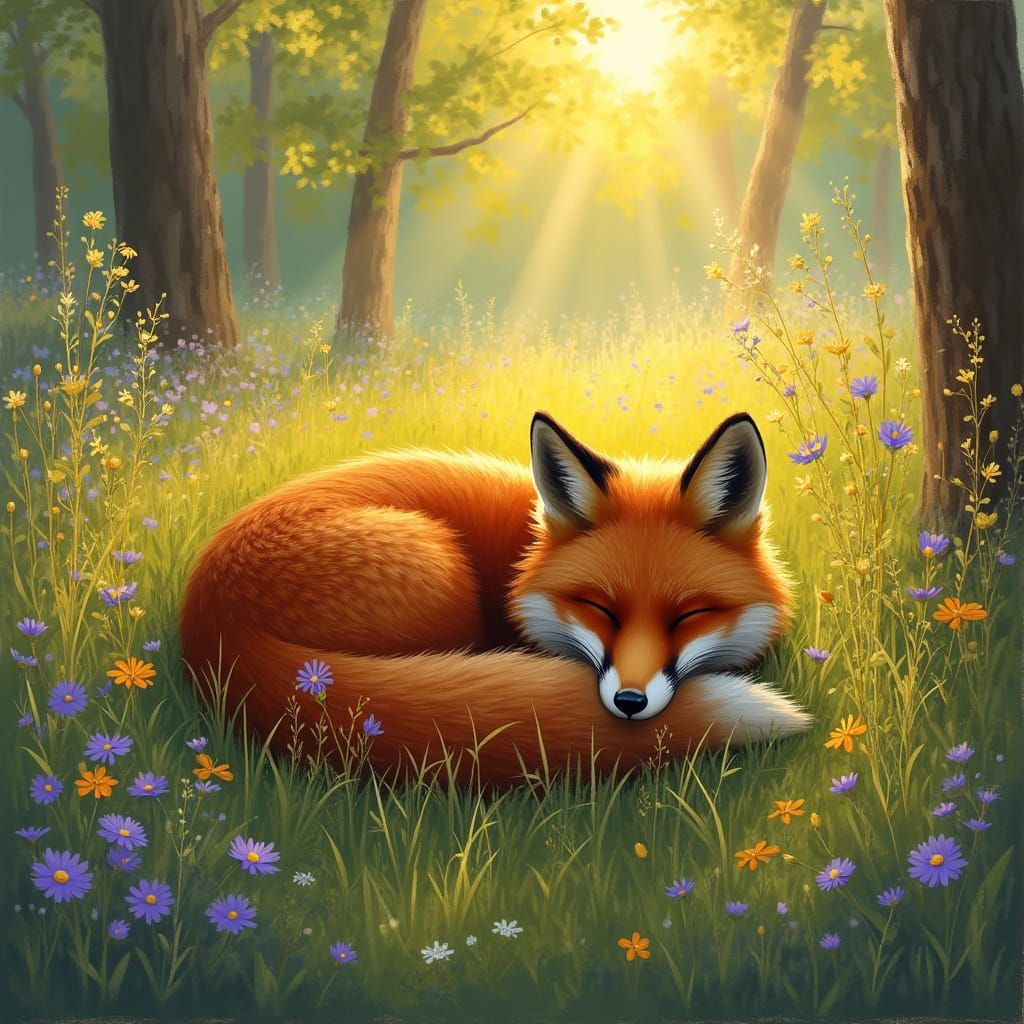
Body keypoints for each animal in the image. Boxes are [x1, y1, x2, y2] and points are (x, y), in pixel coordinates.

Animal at [179, 411, 811, 785]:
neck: (522, 552)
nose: (629, 703)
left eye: (689, 615)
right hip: (442, 573)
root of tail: (209, 612)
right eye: (599, 608)